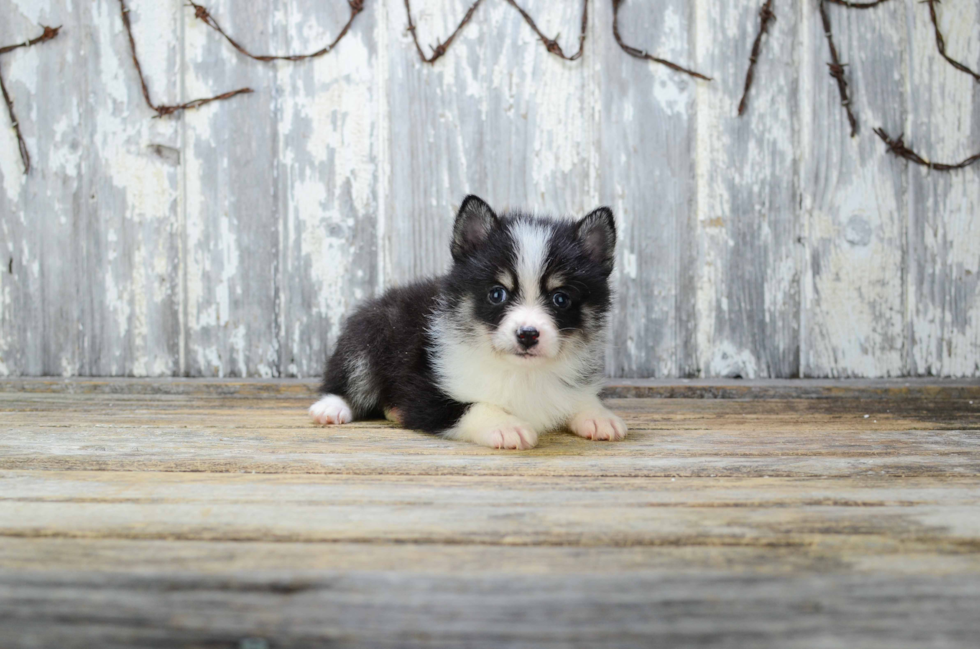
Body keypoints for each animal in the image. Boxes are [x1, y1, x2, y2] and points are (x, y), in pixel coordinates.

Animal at [308, 195, 628, 448]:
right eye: (497, 293)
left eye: (560, 299)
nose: (527, 334)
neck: (520, 372)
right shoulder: (426, 390)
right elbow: (471, 407)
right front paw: (507, 425)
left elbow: (578, 397)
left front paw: (598, 415)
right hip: (367, 336)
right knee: (349, 378)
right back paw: (332, 407)